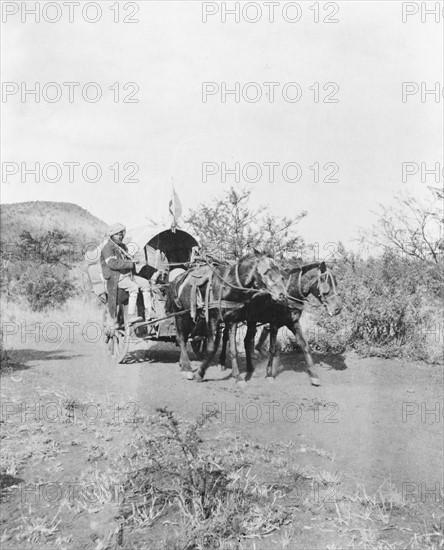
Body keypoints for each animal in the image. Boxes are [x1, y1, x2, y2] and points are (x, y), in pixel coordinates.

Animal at [166, 252, 288, 382]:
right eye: (265, 271)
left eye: (278, 270)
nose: (282, 294)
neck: (228, 286)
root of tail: (176, 280)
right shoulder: (213, 319)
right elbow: (212, 348)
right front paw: (200, 373)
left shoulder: (233, 319)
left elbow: (233, 349)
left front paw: (238, 377)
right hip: (181, 314)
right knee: (181, 338)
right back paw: (187, 368)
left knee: (185, 338)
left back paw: (183, 364)